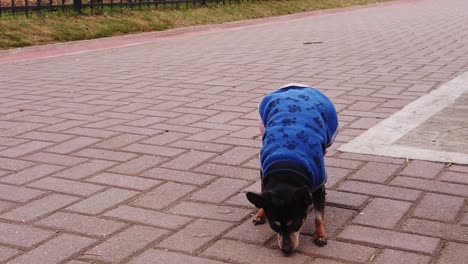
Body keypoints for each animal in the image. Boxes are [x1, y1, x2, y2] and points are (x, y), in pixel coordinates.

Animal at [245, 83, 336, 255]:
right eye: (274, 225)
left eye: (296, 223)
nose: (287, 250)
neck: (286, 169)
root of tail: (295, 87)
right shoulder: (263, 173)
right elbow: (263, 193)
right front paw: (260, 213)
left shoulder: (318, 183)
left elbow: (319, 216)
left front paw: (320, 235)